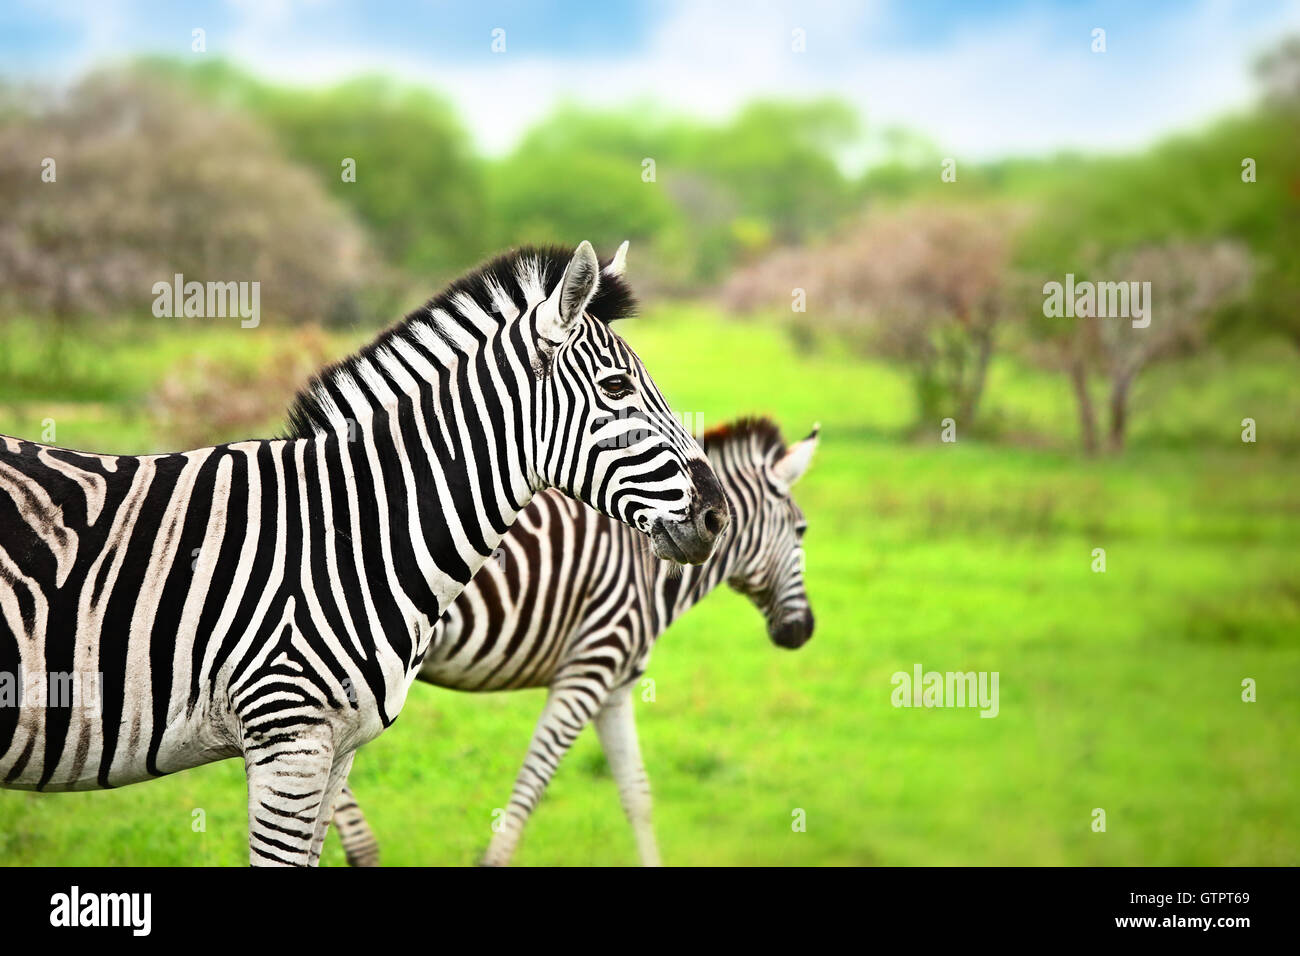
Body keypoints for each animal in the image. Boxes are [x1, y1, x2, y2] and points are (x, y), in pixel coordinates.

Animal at [330, 416, 816, 863]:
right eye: (801, 531)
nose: (804, 631)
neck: (645, 571)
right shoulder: (587, 670)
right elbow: (531, 786)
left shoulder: (615, 690)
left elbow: (637, 796)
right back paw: (363, 850)